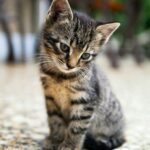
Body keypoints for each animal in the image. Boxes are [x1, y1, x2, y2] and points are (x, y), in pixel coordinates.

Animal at [39, 0, 125, 150]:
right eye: (64, 47)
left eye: (85, 55)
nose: (71, 66)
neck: (60, 77)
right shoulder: (50, 98)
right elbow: (54, 120)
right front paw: (55, 139)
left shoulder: (86, 100)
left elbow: (77, 127)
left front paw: (70, 145)